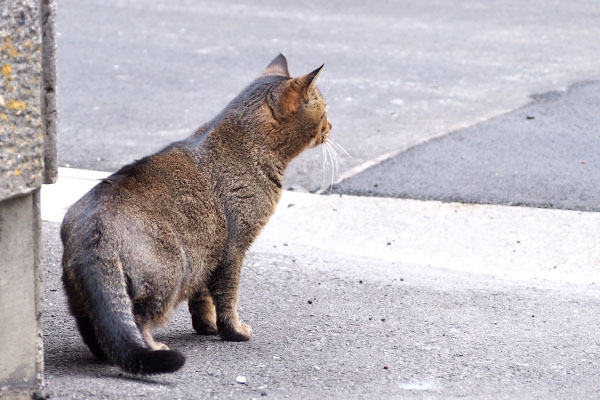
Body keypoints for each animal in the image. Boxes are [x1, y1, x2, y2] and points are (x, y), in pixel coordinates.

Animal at [59, 54, 332, 376]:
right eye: (325, 109)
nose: (331, 125)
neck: (246, 144)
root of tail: (93, 229)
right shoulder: (233, 250)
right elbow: (227, 298)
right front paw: (234, 332)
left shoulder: (208, 251)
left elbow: (203, 299)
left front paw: (207, 327)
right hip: (168, 274)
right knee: (137, 319)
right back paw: (155, 348)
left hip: (87, 296)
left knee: (100, 331)